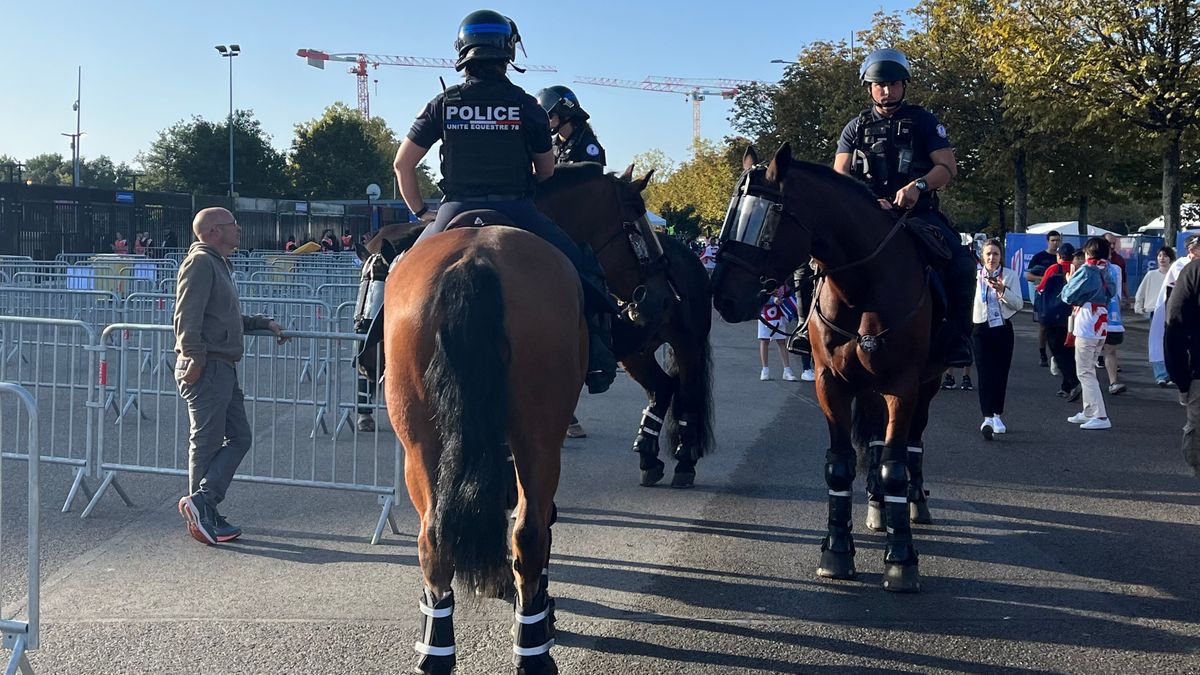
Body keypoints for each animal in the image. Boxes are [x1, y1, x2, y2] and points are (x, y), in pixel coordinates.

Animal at [355, 164, 710, 487]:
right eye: (636, 219)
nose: (661, 295)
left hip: (688, 344)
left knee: (689, 394)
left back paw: (685, 460)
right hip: (639, 351)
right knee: (663, 388)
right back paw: (649, 457)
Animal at [379, 224, 576, 672]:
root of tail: (475, 258)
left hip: (418, 443)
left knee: (434, 539)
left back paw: (435, 653)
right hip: (539, 439)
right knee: (531, 532)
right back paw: (534, 646)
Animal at [710, 141, 945, 588]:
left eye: (763, 221)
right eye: (731, 214)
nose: (724, 299)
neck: (864, 286)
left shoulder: (902, 385)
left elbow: (895, 466)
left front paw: (902, 558)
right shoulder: (831, 383)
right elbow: (840, 465)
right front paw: (837, 550)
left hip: (928, 384)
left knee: (912, 443)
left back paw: (913, 503)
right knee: (875, 444)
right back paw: (878, 507)